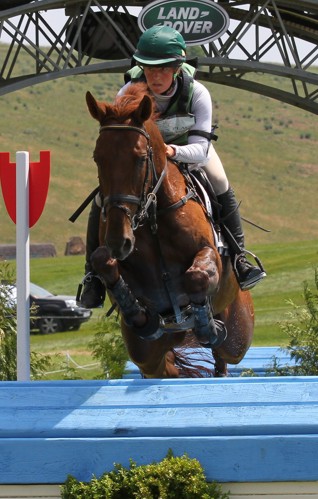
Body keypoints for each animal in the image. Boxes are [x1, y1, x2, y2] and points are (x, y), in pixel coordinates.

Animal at [85, 83, 255, 378]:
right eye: (98, 158)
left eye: (141, 158)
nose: (120, 241)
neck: (153, 216)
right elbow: (102, 261)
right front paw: (138, 313)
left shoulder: (208, 253)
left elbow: (197, 277)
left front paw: (206, 325)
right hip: (146, 355)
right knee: (166, 369)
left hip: (238, 333)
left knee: (223, 354)